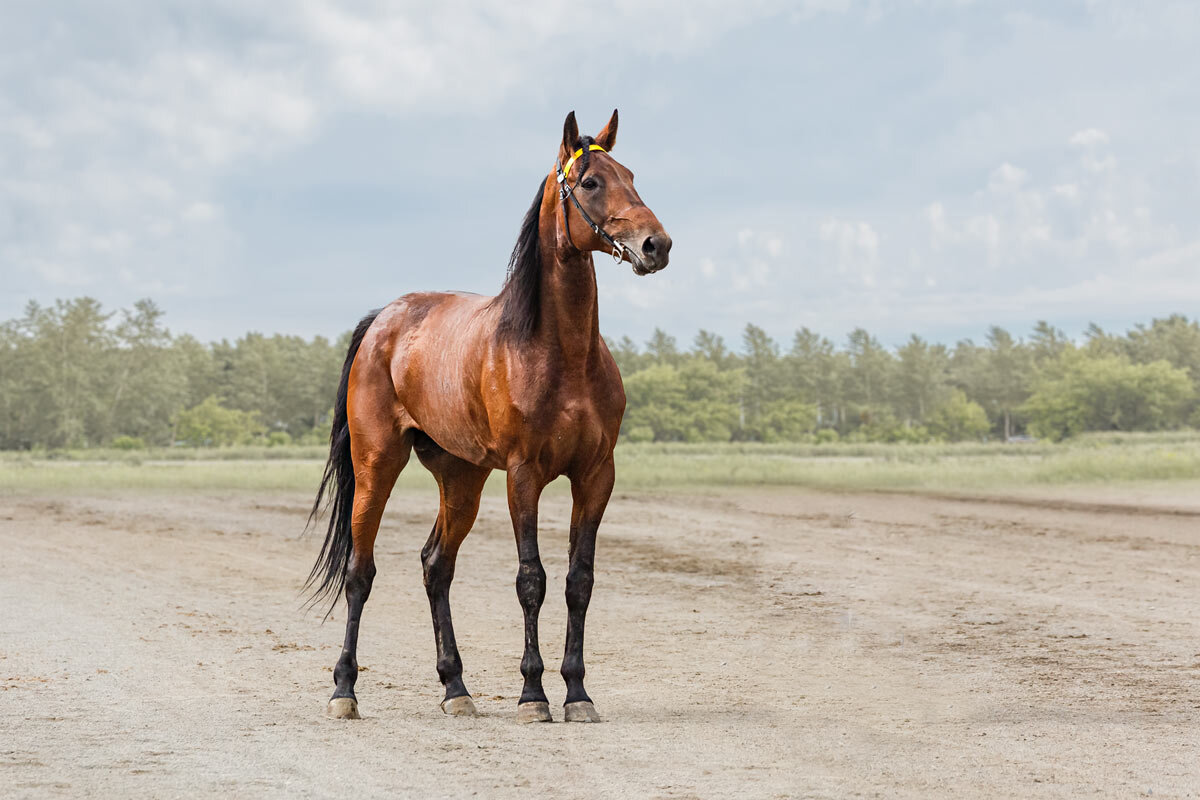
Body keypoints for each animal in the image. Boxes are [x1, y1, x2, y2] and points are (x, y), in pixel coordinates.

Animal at [304, 109, 672, 724]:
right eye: (591, 182)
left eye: (632, 175)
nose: (656, 245)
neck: (560, 353)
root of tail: (385, 319)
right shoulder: (523, 475)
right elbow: (531, 579)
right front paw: (533, 695)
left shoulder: (596, 476)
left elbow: (578, 580)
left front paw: (578, 693)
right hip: (378, 465)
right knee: (360, 572)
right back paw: (344, 691)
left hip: (462, 478)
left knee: (436, 566)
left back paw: (456, 688)